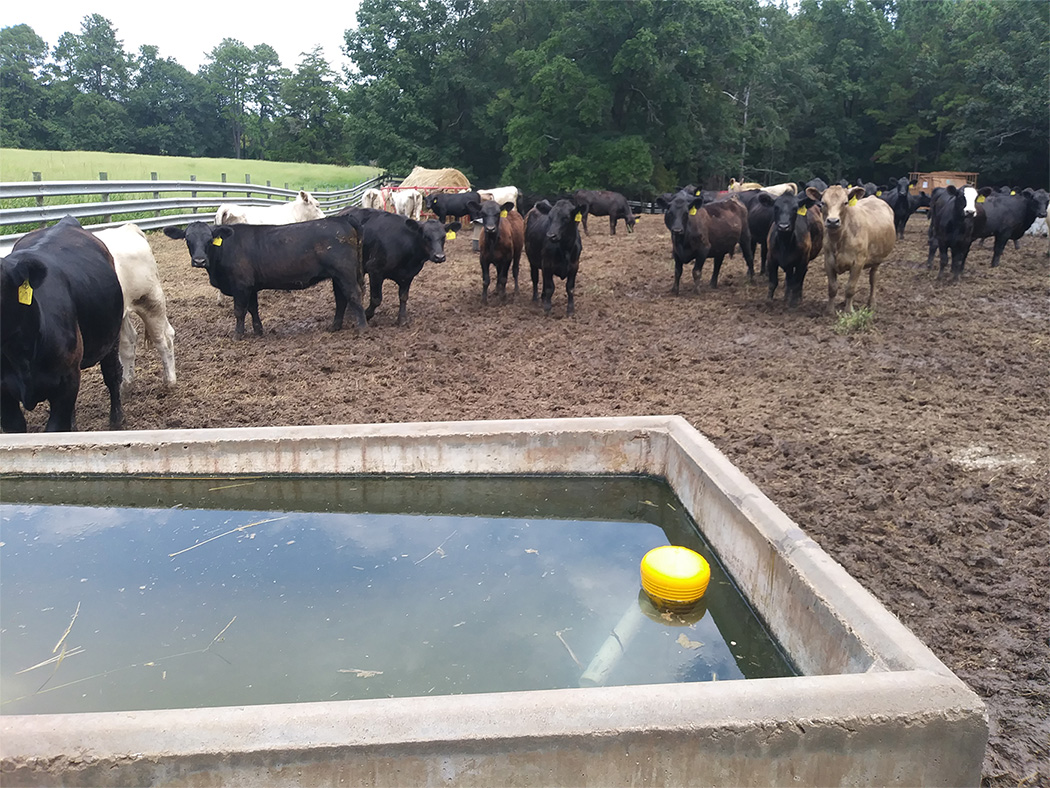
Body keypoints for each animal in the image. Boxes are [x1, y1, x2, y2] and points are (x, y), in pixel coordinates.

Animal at [1, 216, 124, 432]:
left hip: (111, 338)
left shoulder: (66, 382)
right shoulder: (4, 395)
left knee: (112, 374)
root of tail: (66, 221)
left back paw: (116, 421)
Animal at [96, 222, 176, 388]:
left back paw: (170, 381)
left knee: (163, 338)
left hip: (150, 301)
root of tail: (128, 228)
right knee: (129, 341)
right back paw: (126, 384)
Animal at [159, 216, 365, 340]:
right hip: (337, 276)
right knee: (341, 299)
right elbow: (253, 309)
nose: (199, 260)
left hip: (345, 273)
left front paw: (238, 335)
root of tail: (340, 218)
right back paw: (335, 326)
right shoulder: (251, 287)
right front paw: (258, 331)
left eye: (210, 240)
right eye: (187, 239)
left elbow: (239, 311)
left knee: (354, 295)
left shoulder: (241, 286)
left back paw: (363, 328)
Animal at [810, 187, 894, 317]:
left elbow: (850, 288)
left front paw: (849, 311)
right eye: (823, 203)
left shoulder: (858, 263)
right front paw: (829, 310)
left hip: (877, 260)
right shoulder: (828, 261)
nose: (833, 221)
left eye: (845, 203)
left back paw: (871, 303)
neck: (839, 239)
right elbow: (832, 288)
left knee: (873, 278)